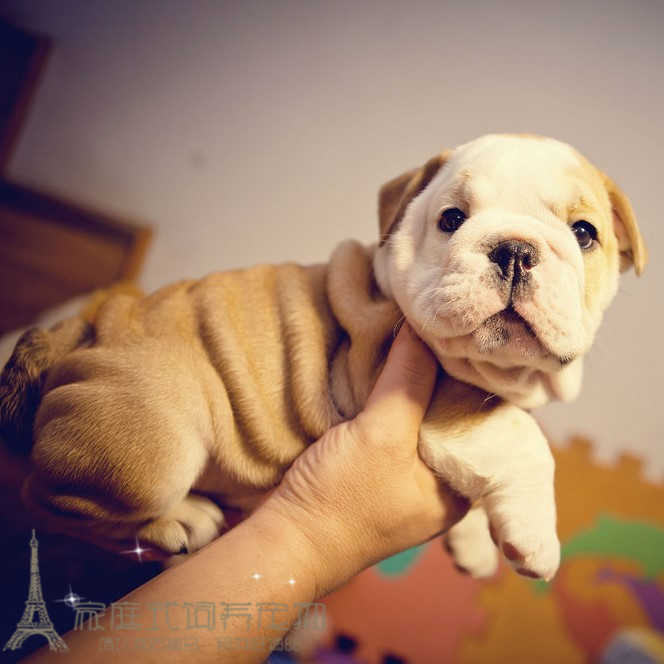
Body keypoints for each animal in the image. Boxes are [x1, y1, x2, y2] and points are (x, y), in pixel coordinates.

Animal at [0, 135, 644, 580]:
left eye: (585, 233)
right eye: (451, 220)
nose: (514, 249)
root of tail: (83, 326)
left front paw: (473, 545)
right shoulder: (421, 377)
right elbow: (523, 437)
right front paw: (534, 538)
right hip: (155, 443)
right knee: (43, 497)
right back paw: (175, 521)